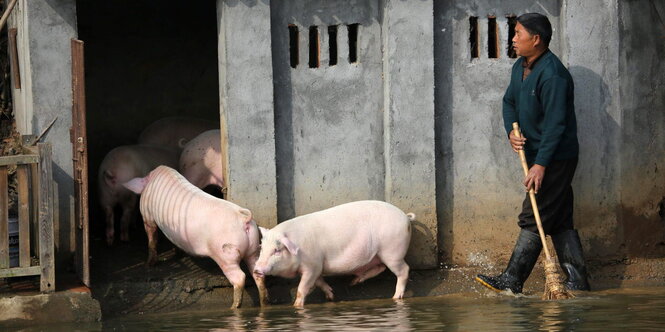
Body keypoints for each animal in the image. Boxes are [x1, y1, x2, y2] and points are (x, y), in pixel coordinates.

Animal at [123, 166, 268, 308]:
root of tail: (244, 219)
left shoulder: (147, 214)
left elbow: (152, 237)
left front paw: (148, 265)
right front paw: (177, 253)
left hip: (226, 254)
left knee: (239, 278)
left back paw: (233, 307)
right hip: (254, 249)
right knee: (257, 273)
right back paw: (264, 303)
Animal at [254, 200, 416, 306]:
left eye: (277, 250)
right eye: (261, 248)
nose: (256, 269)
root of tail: (405, 217)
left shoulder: (313, 265)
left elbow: (303, 288)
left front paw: (296, 306)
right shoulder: (317, 267)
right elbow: (319, 281)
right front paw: (331, 296)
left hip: (392, 251)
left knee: (404, 270)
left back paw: (396, 297)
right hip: (380, 255)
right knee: (381, 268)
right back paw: (354, 282)